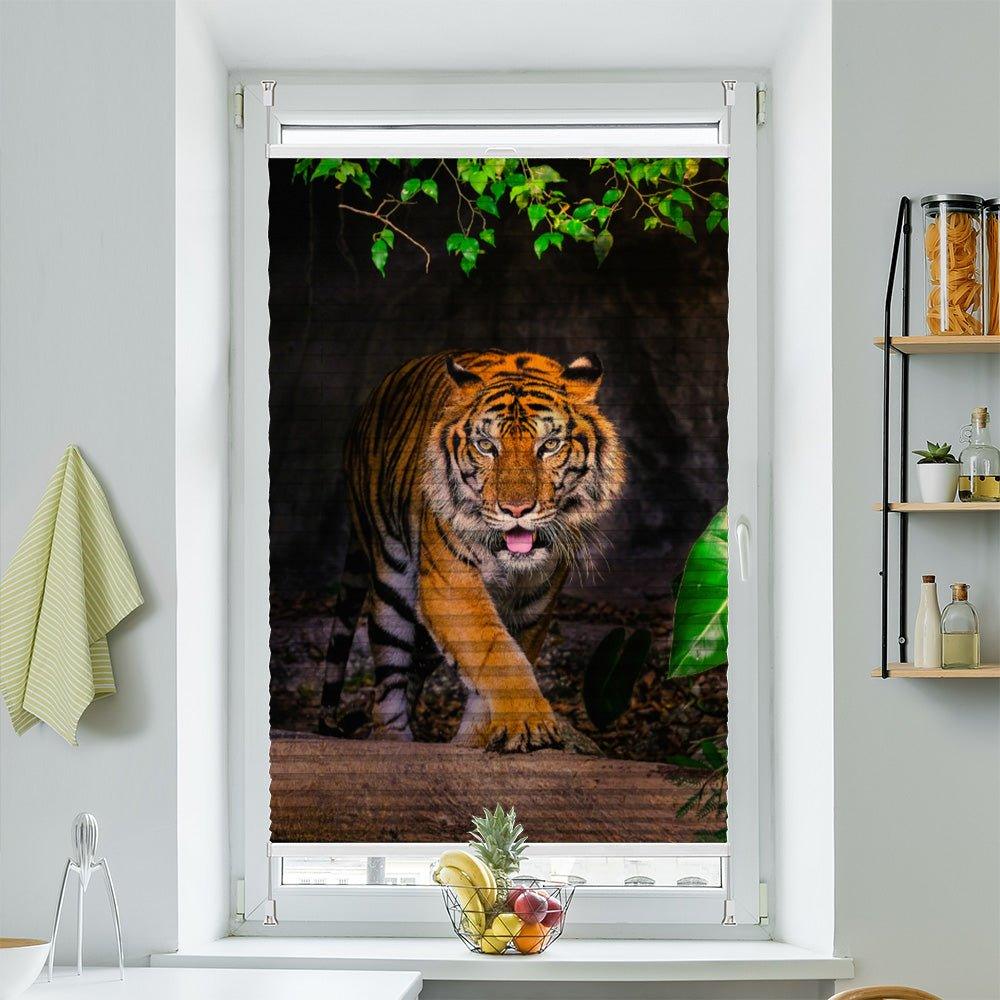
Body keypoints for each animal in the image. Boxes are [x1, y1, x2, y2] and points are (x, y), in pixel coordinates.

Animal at [319, 349, 625, 752]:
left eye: (549, 446)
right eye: (486, 447)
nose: (516, 510)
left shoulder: (535, 604)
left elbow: (501, 660)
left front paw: (477, 741)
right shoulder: (450, 586)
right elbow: (497, 653)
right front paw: (530, 723)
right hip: (391, 588)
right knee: (389, 683)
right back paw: (393, 741)